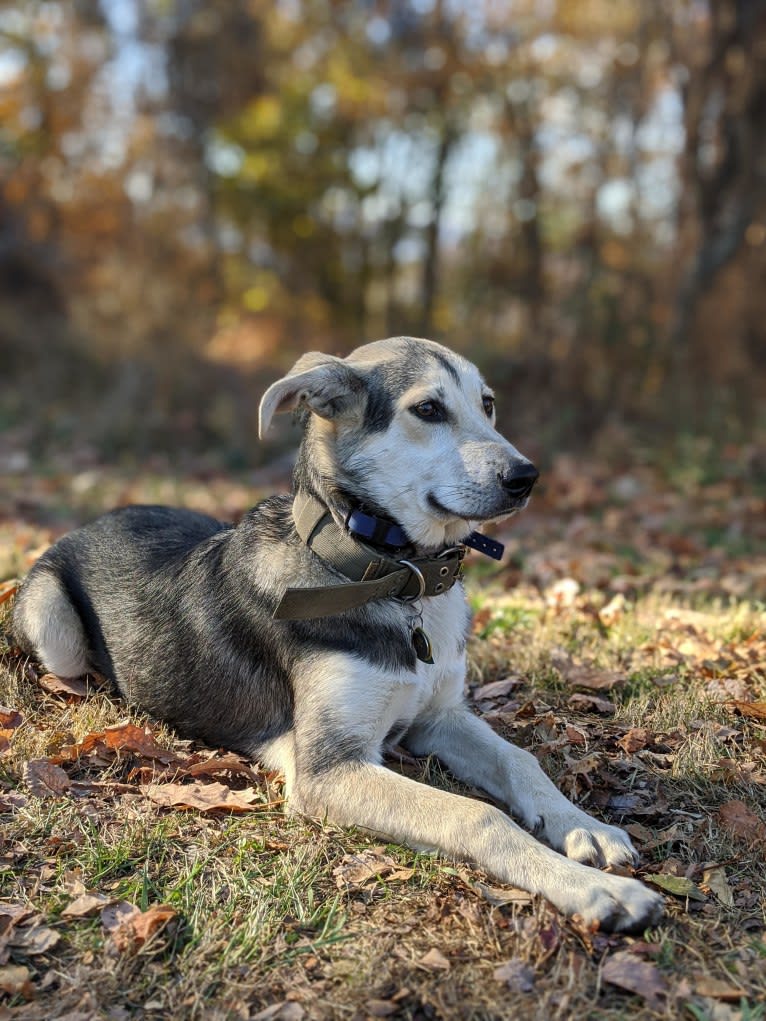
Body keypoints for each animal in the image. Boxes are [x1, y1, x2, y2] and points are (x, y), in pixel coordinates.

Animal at [16, 336, 665, 935]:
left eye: (488, 404)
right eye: (428, 409)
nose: (527, 477)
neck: (396, 581)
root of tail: (100, 516)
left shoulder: (439, 717)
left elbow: (521, 761)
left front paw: (586, 829)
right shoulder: (330, 770)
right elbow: (475, 816)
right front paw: (595, 891)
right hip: (53, 625)